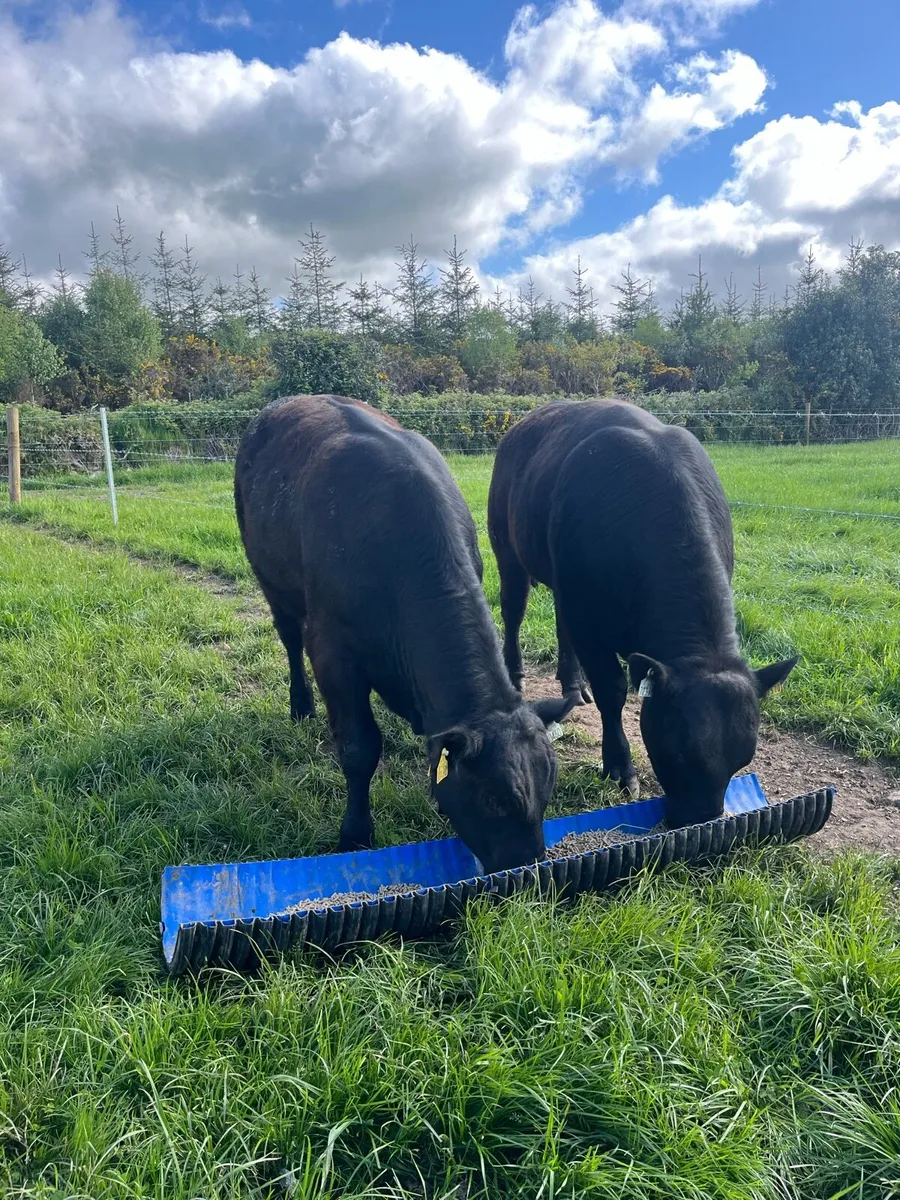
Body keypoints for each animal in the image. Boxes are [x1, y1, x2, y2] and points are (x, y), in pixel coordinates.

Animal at [234, 394, 576, 874]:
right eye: (492, 799)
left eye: (549, 790)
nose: (526, 869)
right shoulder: (335, 654)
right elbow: (359, 748)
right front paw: (355, 834)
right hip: (270, 578)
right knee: (288, 637)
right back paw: (301, 705)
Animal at [487, 399, 798, 829]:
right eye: (678, 750)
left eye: (743, 758)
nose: (699, 820)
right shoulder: (589, 618)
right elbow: (613, 690)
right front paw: (620, 767)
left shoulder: (579, 603)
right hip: (508, 553)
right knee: (513, 612)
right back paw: (517, 675)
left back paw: (573, 685)